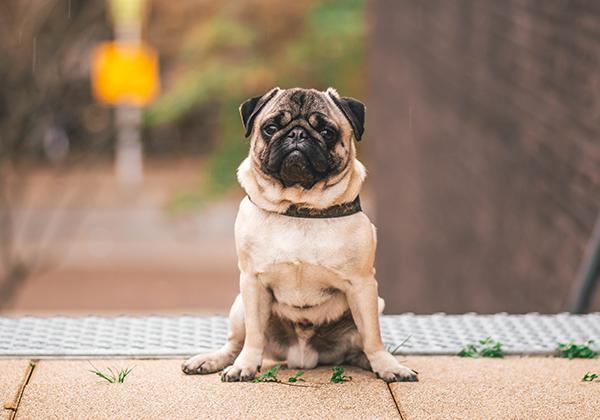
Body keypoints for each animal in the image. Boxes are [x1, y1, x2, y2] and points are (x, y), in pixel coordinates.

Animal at [182, 87, 418, 382]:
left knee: (361, 345)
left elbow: (373, 337)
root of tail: (302, 356)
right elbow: (254, 337)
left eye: (327, 132)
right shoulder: (252, 282)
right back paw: (213, 360)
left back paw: (373, 361)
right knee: (236, 343)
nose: (297, 134)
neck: (299, 207)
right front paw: (245, 365)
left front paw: (387, 365)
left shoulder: (362, 285)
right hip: (238, 307)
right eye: (271, 128)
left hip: (376, 304)